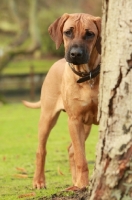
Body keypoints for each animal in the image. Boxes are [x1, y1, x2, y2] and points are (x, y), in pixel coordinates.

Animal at [23, 13, 101, 190]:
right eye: (68, 32)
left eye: (90, 34)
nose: (75, 54)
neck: (87, 77)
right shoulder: (74, 120)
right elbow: (81, 158)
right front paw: (83, 185)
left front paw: (80, 183)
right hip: (47, 117)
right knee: (41, 150)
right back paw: (39, 181)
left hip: (86, 124)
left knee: (71, 149)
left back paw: (75, 181)